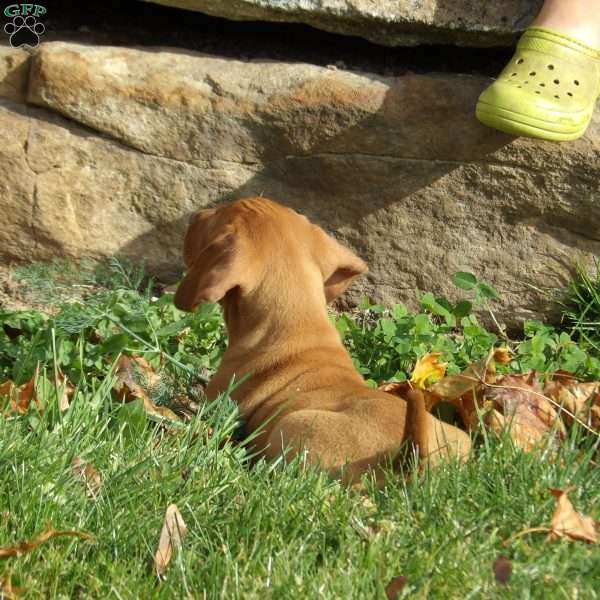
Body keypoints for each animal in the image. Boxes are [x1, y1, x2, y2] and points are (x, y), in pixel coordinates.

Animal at [173, 197, 468, 482]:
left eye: (217, 215)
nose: (194, 215)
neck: (299, 320)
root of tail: (410, 464)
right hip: (461, 439)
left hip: (292, 425)